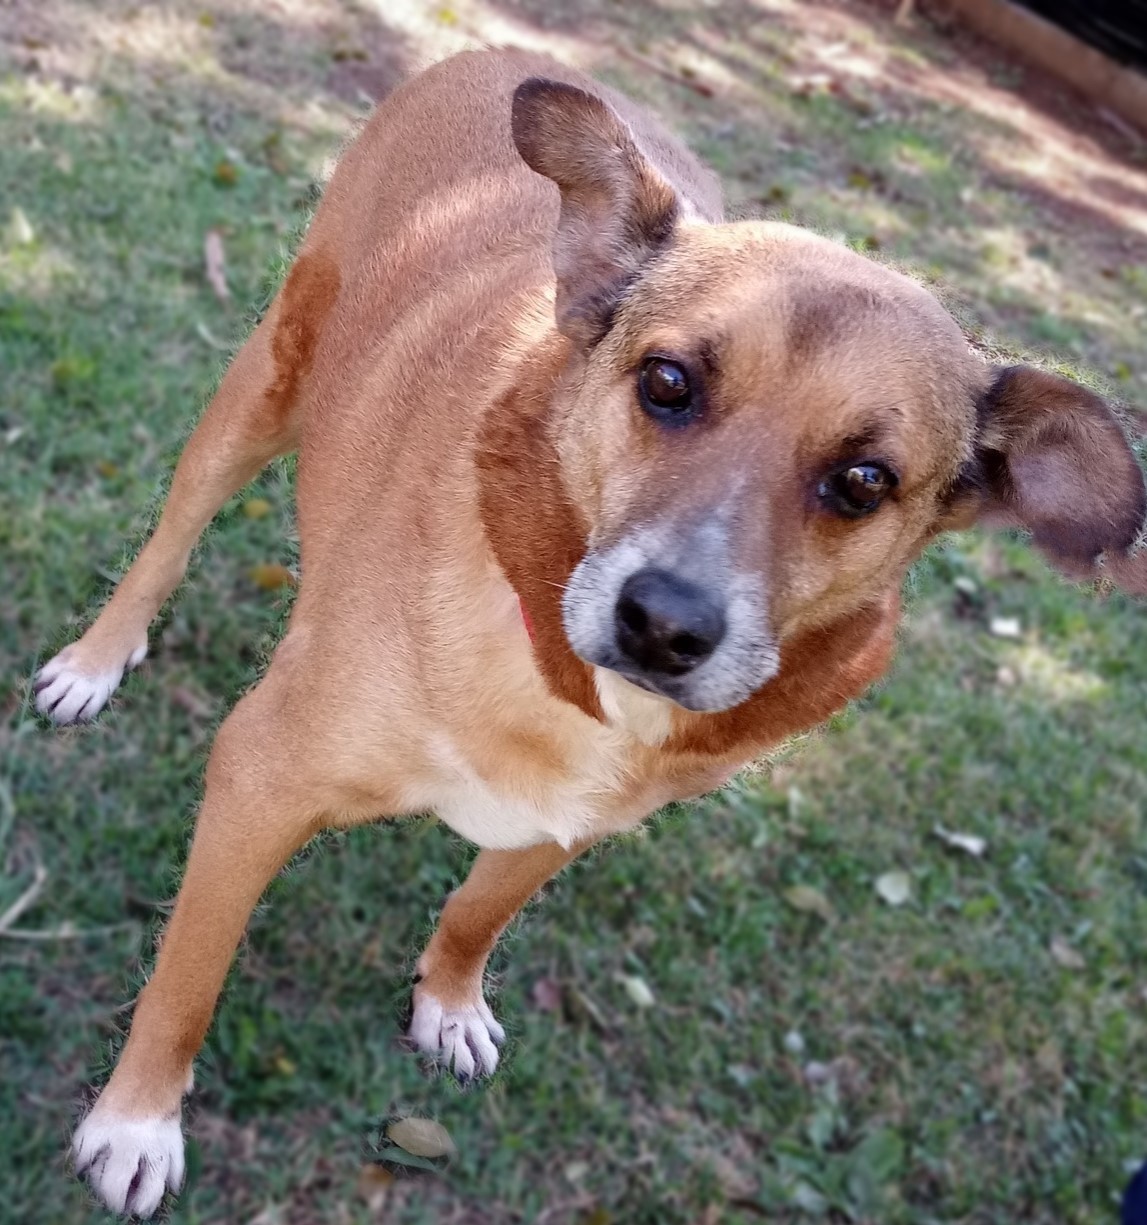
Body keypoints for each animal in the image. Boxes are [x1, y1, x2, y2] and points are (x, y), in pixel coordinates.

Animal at [35, 47, 1147, 1215]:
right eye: (666, 381)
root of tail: (501, 55)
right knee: (169, 539)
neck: (554, 670)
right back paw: (95, 661)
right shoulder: (260, 781)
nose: (662, 624)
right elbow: (189, 981)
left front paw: (449, 997)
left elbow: (479, 911)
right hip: (264, 388)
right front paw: (138, 1120)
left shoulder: (567, 828)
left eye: (863, 481)